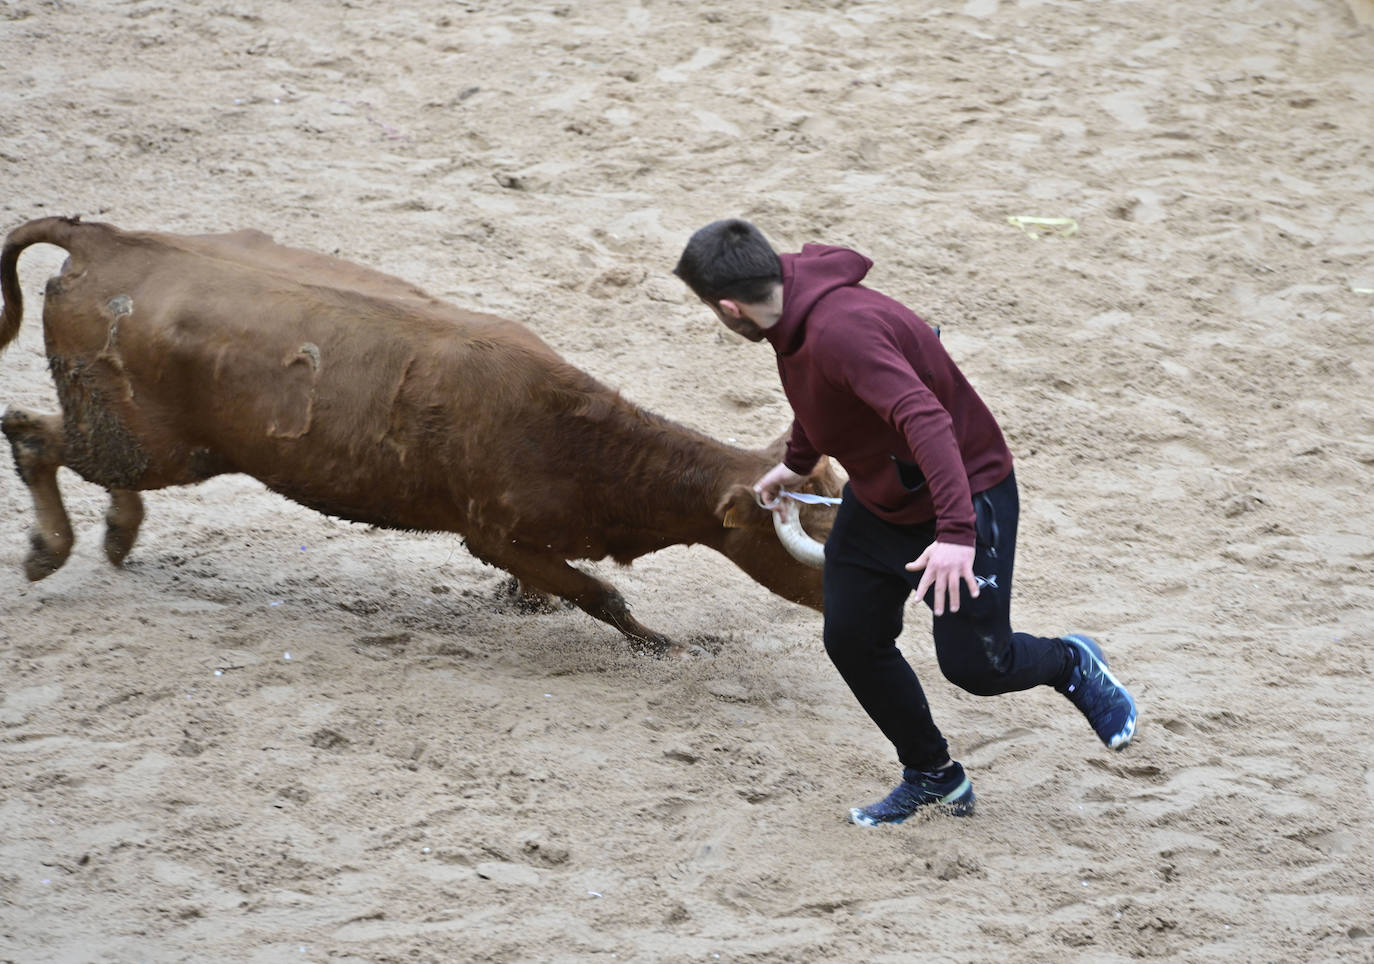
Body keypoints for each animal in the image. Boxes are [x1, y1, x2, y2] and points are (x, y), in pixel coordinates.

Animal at [0, 216, 835, 656]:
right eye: (812, 539)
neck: (578, 439)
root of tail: (104, 241)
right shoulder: (492, 532)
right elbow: (600, 593)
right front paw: (662, 644)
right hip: (152, 445)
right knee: (34, 436)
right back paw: (52, 550)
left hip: (146, 441)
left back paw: (115, 534)